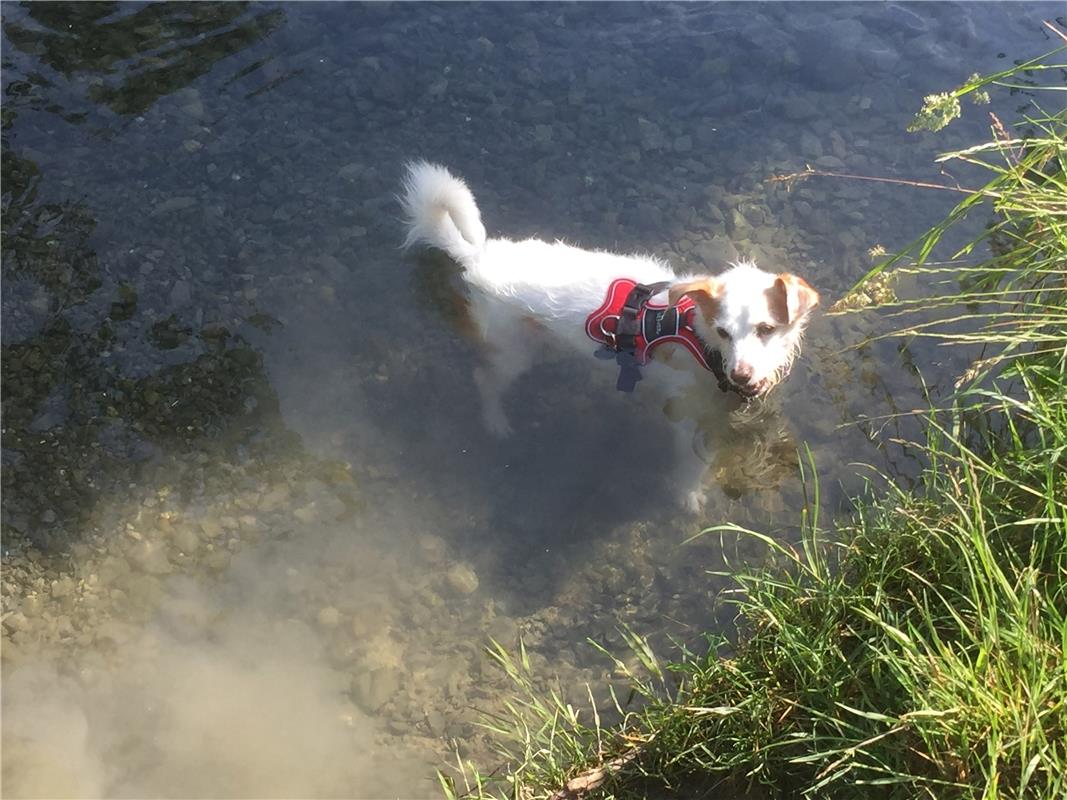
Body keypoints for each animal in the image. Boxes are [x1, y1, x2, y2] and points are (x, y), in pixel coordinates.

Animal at [401, 163, 815, 509]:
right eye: (723, 332)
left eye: (766, 329)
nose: (741, 375)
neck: (697, 338)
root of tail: (478, 255)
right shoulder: (685, 416)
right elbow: (692, 462)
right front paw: (690, 493)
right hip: (512, 350)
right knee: (485, 378)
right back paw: (495, 420)